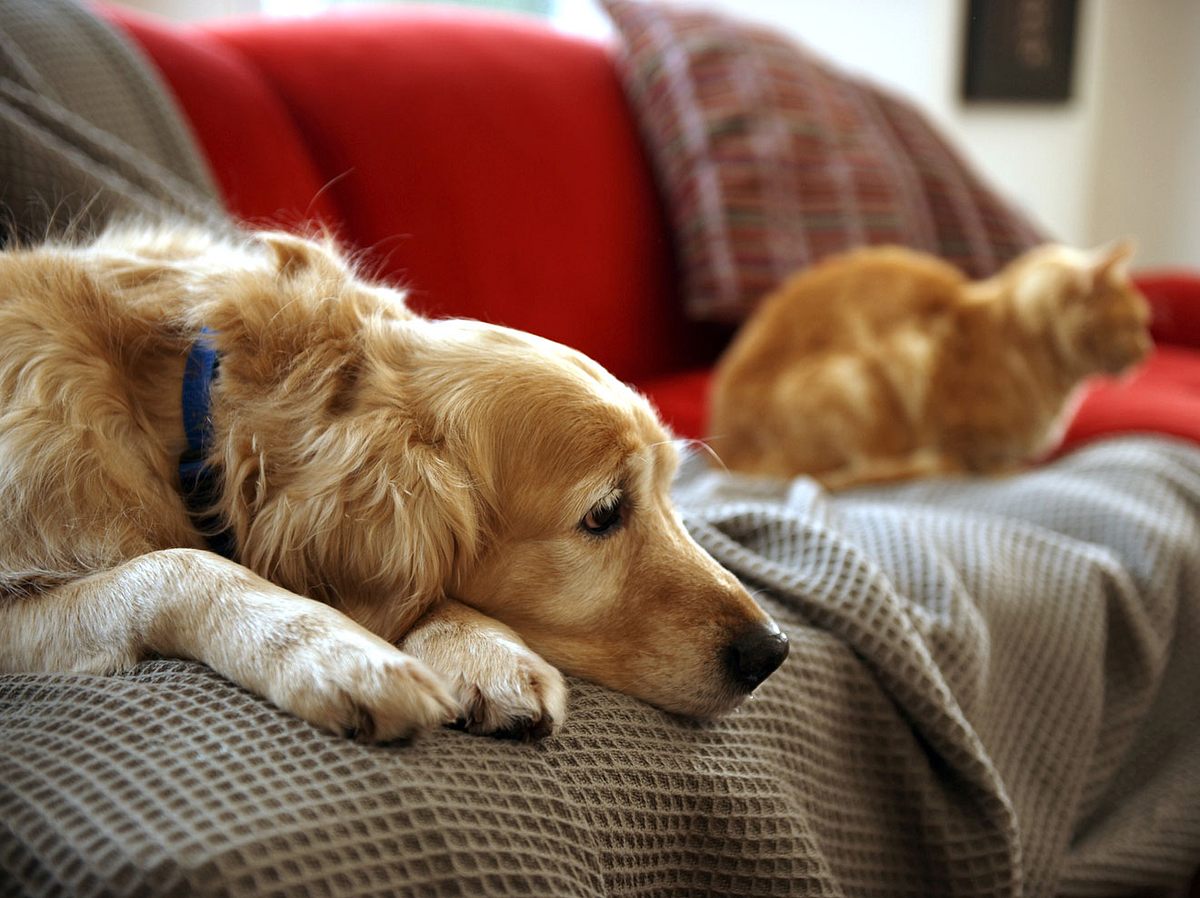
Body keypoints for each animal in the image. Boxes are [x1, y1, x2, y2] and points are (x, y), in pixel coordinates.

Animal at [0, 225, 787, 744]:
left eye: (669, 490)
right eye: (603, 514)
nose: (772, 651)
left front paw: (482, 649)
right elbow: (177, 566)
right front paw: (340, 654)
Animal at [710, 240, 1152, 492]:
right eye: (1135, 324)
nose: (1147, 351)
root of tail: (728, 453)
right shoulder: (927, 370)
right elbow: (974, 455)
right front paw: (1000, 471)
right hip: (855, 380)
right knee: (860, 469)